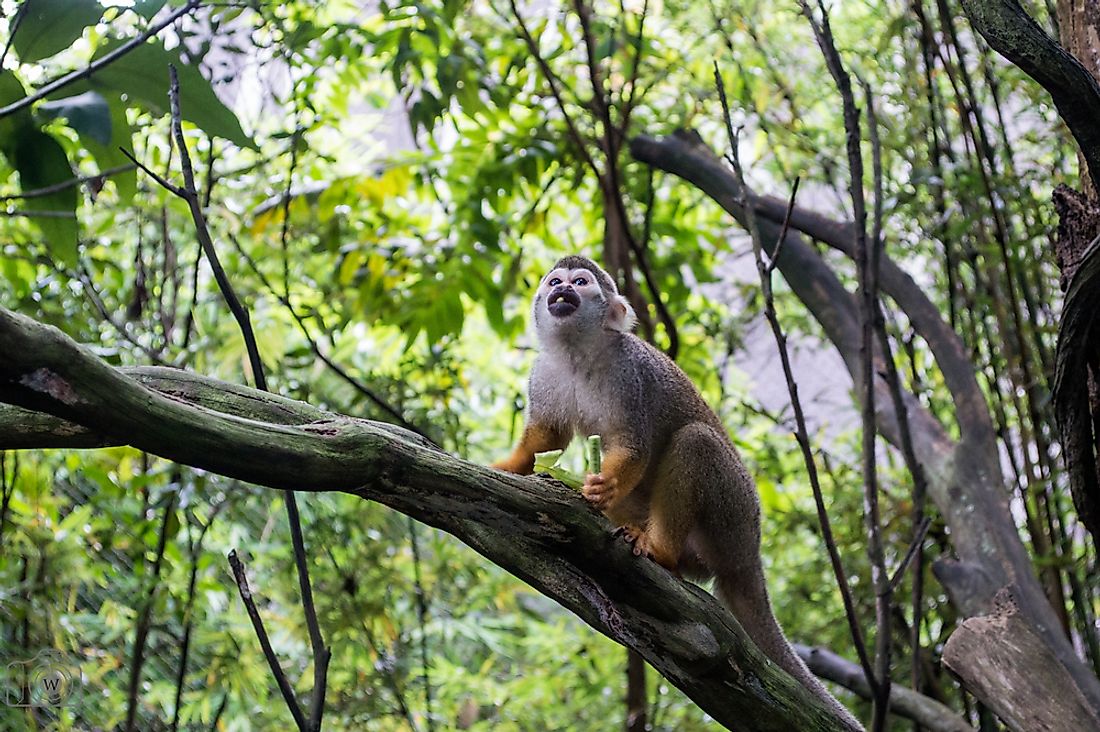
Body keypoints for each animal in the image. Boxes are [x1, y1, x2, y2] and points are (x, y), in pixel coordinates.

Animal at [495, 254, 862, 726]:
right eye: (554, 282)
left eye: (580, 283)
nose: (561, 292)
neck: (578, 352)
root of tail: (749, 554)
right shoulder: (543, 373)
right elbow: (546, 438)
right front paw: (511, 465)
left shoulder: (631, 374)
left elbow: (634, 445)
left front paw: (603, 485)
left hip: (733, 517)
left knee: (695, 441)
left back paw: (660, 551)